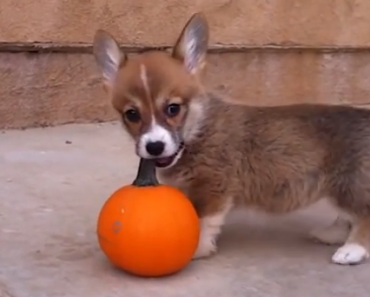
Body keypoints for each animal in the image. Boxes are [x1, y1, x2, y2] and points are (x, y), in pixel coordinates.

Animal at [93, 12, 370, 264]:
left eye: (173, 108)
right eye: (132, 114)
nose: (154, 147)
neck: (197, 132)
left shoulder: (213, 187)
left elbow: (202, 222)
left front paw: (196, 249)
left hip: (347, 184)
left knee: (364, 212)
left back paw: (352, 249)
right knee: (349, 215)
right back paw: (331, 233)